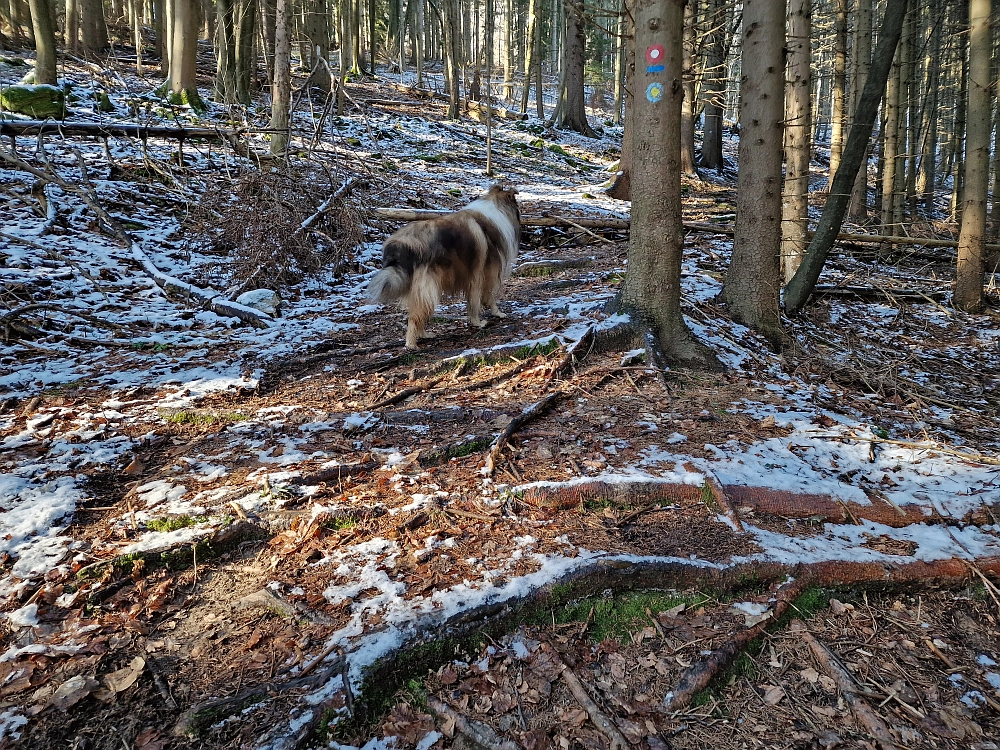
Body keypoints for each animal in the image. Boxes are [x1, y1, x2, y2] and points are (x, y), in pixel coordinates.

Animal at [370, 188, 524, 352]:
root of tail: (402, 245)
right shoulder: (482, 274)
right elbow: (481, 300)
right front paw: (486, 319)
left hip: (421, 290)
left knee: (418, 315)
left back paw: (424, 335)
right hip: (428, 287)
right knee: (414, 318)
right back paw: (411, 344)